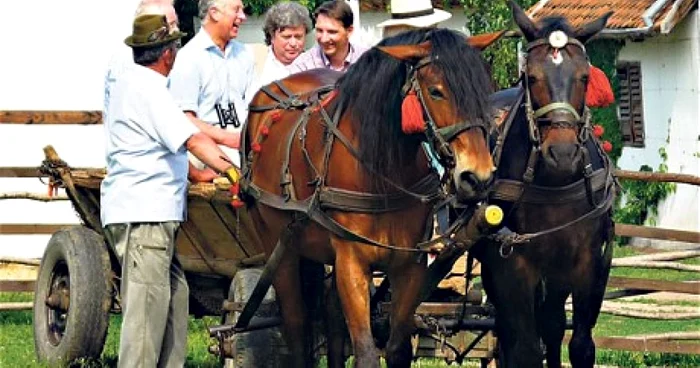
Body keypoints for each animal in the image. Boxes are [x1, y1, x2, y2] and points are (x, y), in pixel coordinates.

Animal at [242, 29, 498, 368]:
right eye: (436, 91)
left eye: (486, 90)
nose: (478, 177)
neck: (381, 173)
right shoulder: (352, 261)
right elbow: (365, 352)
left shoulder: (408, 265)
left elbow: (397, 347)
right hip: (279, 246)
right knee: (296, 323)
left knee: (331, 316)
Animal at [474, 2, 616, 366]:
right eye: (532, 77)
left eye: (584, 77)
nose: (563, 153)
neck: (555, 184)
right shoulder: (512, 266)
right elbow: (524, 349)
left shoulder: (585, 264)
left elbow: (579, 344)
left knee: (551, 326)